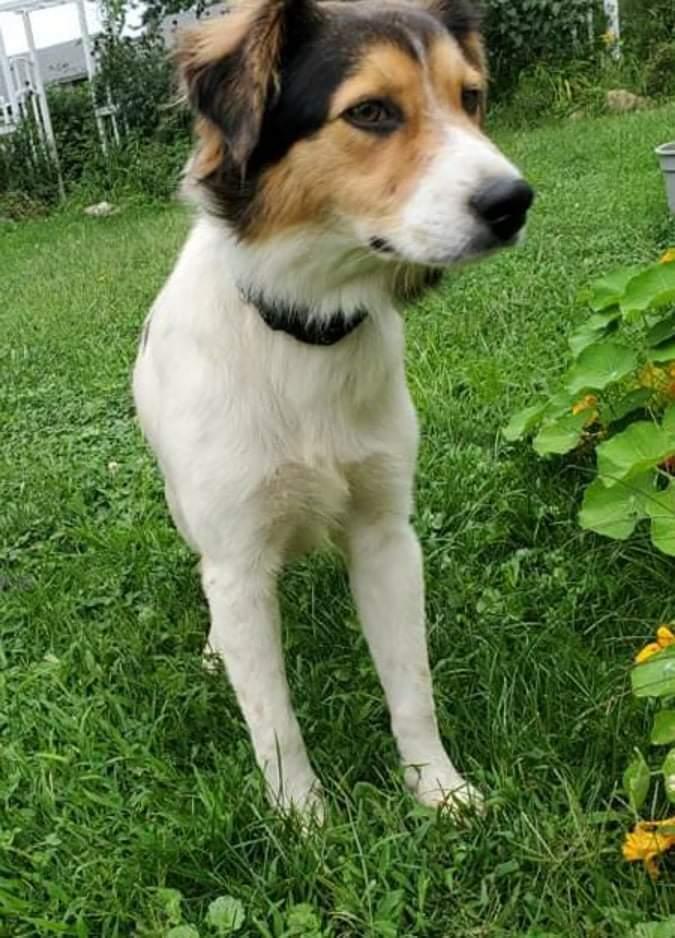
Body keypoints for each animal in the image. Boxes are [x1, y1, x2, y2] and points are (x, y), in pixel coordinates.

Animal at [132, 0, 532, 816]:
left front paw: (438, 789)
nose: (513, 202)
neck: (306, 331)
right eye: (371, 111)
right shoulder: (238, 559)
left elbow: (411, 687)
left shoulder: (386, 534)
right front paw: (304, 822)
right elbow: (274, 721)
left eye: (470, 98)